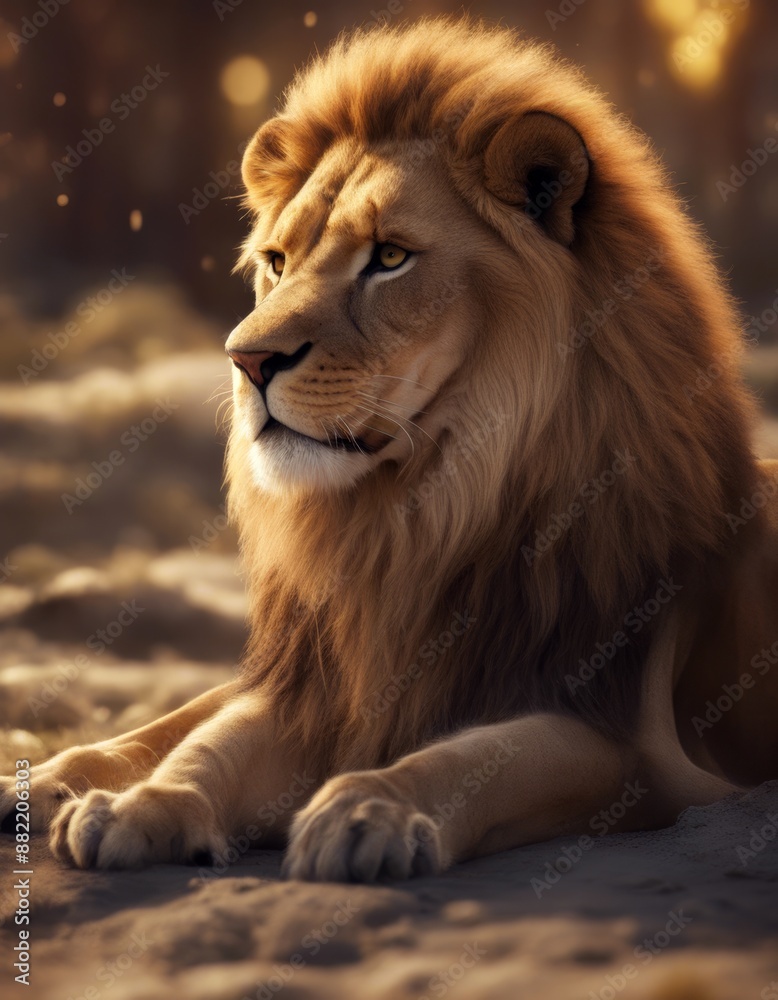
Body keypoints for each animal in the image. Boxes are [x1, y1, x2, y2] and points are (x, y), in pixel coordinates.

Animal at [2, 18, 776, 880]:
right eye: (277, 262)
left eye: (390, 257)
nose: (245, 359)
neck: (418, 516)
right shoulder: (326, 683)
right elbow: (216, 743)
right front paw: (144, 804)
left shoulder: (627, 739)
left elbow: (480, 755)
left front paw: (368, 809)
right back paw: (50, 781)